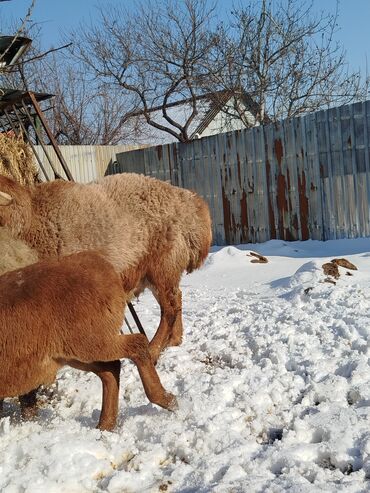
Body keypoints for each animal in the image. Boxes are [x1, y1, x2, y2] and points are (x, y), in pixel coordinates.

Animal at [0, 171, 211, 364]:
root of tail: (188, 202)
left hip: (162, 266)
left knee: (169, 310)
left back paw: (153, 350)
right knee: (177, 299)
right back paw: (175, 340)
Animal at [0, 252, 177, 428]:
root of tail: (103, 265)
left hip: (91, 342)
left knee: (137, 344)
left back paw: (165, 400)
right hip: (71, 353)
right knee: (111, 369)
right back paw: (105, 425)